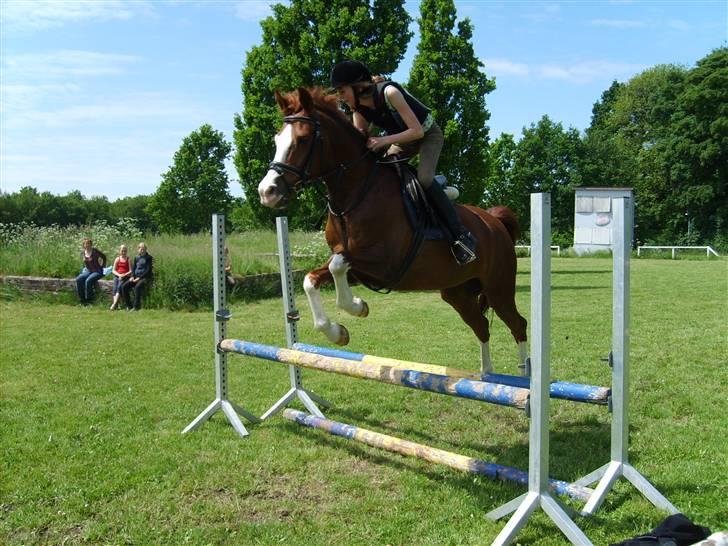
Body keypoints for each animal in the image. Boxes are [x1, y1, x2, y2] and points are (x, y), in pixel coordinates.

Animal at [258, 87, 528, 374]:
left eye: (303, 139)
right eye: (277, 139)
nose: (267, 192)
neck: (356, 192)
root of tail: (494, 222)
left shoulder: (384, 264)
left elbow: (337, 266)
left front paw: (356, 307)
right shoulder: (357, 265)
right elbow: (312, 279)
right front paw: (338, 330)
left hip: (498, 287)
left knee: (517, 324)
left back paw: (525, 377)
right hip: (457, 292)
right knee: (481, 326)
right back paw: (486, 374)